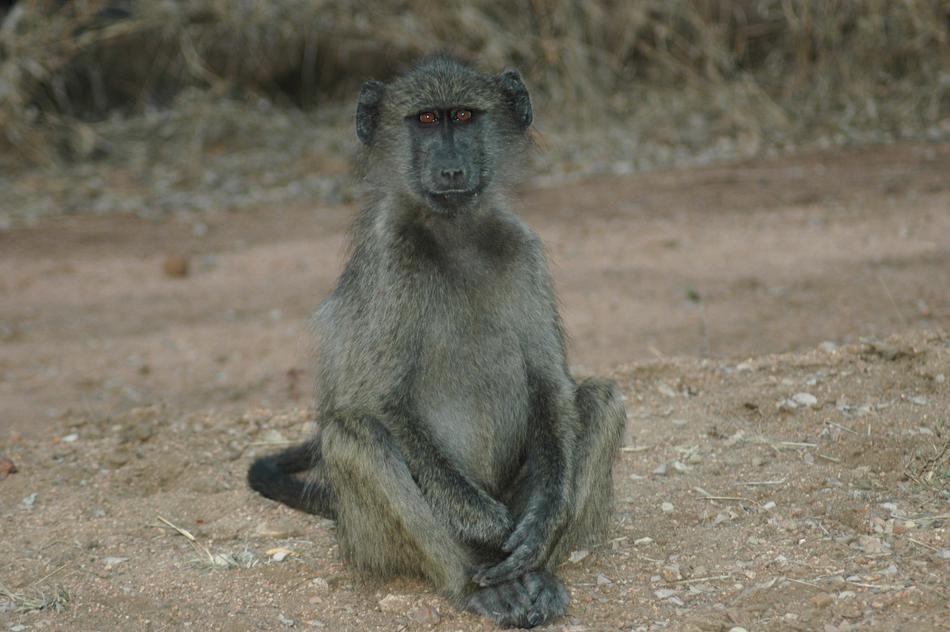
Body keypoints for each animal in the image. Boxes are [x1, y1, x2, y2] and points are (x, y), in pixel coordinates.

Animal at [248, 56, 627, 629]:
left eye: (463, 116)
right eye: (426, 120)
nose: (451, 170)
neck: (454, 233)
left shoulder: (524, 248)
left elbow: (550, 383)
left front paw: (542, 521)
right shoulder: (390, 261)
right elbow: (375, 402)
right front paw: (490, 528)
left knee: (600, 399)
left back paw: (536, 570)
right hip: (367, 537)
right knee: (358, 433)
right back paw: (477, 583)